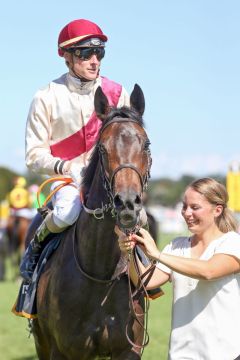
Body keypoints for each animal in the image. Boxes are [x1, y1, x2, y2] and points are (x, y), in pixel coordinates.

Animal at [29, 84, 152, 360]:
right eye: (103, 148)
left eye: (146, 145)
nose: (127, 203)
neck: (101, 274)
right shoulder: (62, 350)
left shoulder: (128, 349)